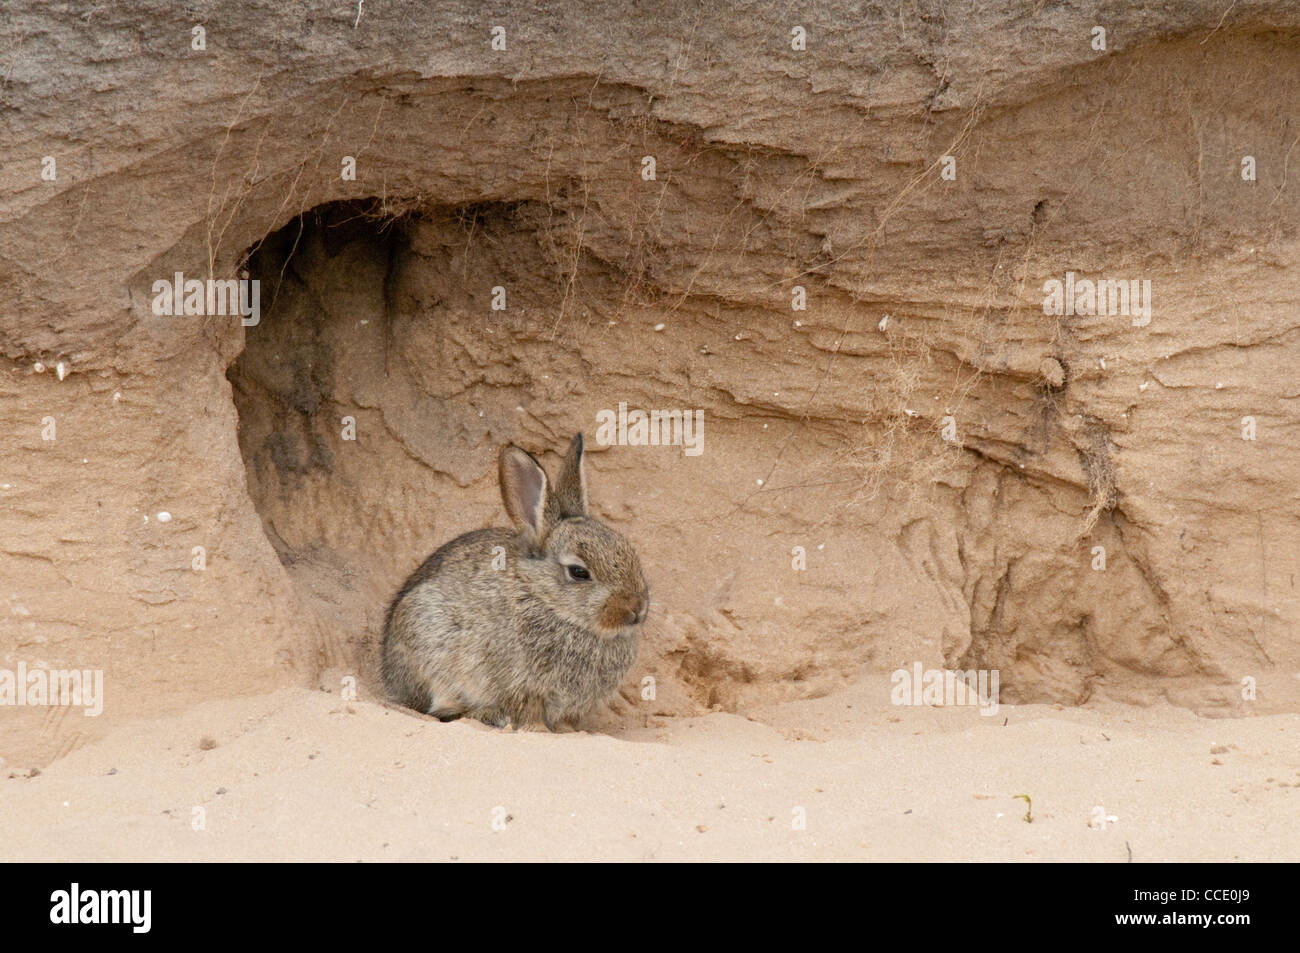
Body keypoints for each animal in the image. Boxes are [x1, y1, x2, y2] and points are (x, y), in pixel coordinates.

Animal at [381, 433, 649, 730]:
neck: (546, 599)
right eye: (579, 572)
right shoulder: (522, 686)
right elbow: (527, 712)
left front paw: (567, 731)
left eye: (629, 550)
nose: (637, 609)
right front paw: (539, 730)